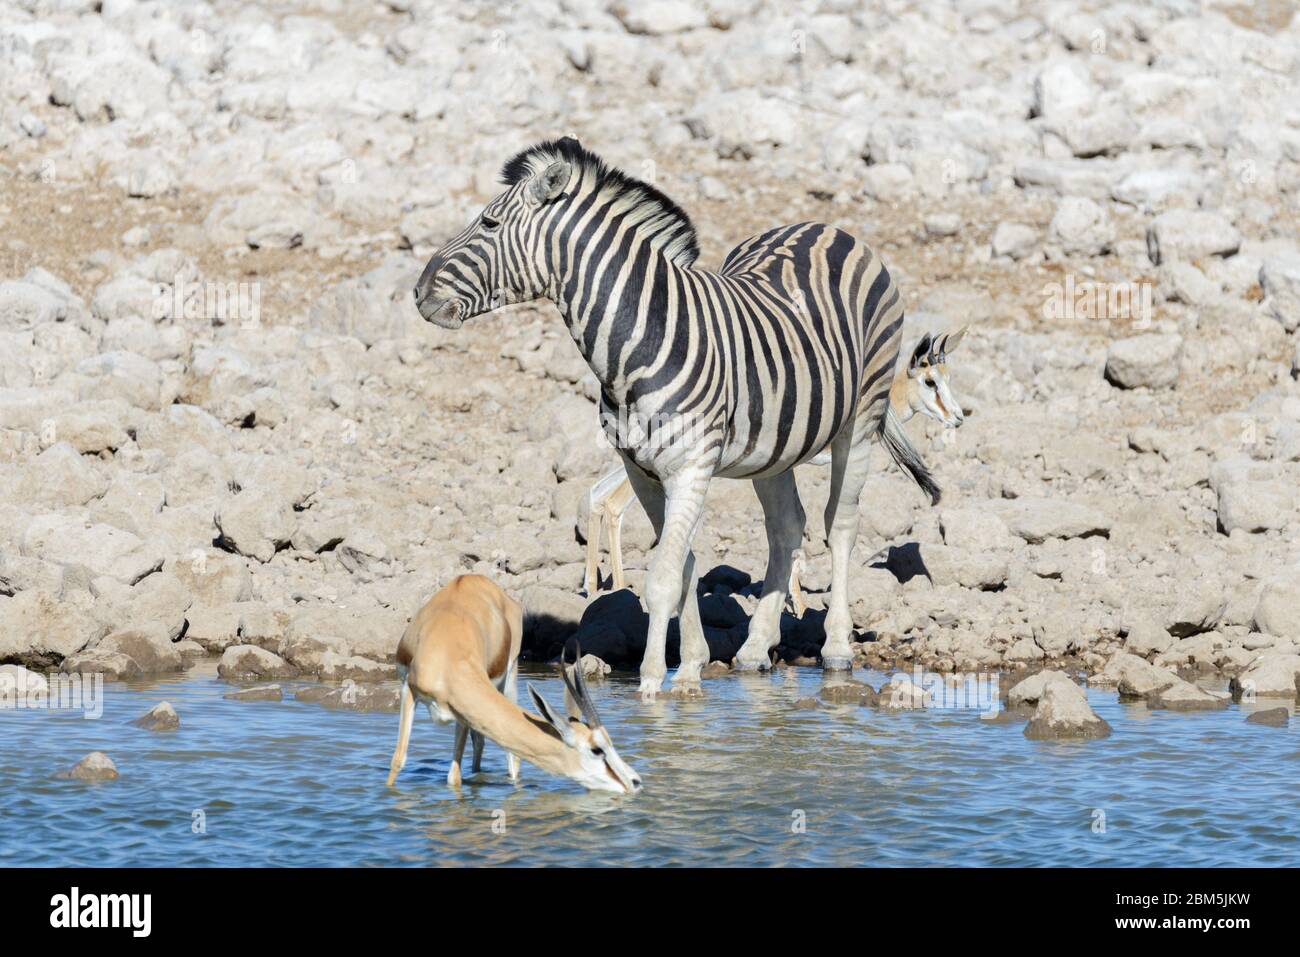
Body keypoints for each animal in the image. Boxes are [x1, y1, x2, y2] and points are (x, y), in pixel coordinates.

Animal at [414, 137, 939, 699]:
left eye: (489, 223)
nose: (418, 292)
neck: (638, 342)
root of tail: (828, 228)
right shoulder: (642, 470)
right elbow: (683, 563)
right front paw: (688, 670)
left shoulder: (690, 467)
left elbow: (664, 575)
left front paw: (650, 686)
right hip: (775, 446)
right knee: (786, 528)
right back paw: (756, 649)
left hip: (859, 422)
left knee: (839, 524)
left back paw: (838, 647)